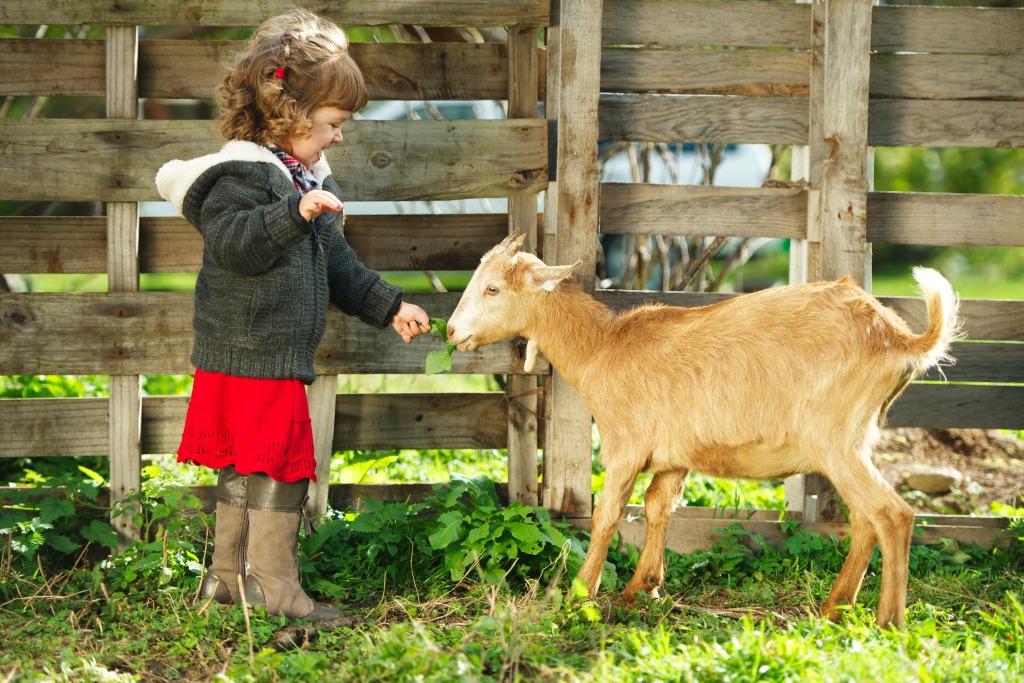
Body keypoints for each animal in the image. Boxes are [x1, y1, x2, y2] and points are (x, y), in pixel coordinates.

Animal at [446, 233, 958, 630]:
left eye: (492, 288)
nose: (451, 331)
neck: (602, 347)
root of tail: (898, 338)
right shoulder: (675, 456)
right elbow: (659, 506)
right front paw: (643, 589)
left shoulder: (625, 446)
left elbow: (608, 514)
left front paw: (579, 593)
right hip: (855, 441)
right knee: (864, 519)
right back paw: (836, 608)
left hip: (836, 441)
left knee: (892, 515)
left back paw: (888, 622)